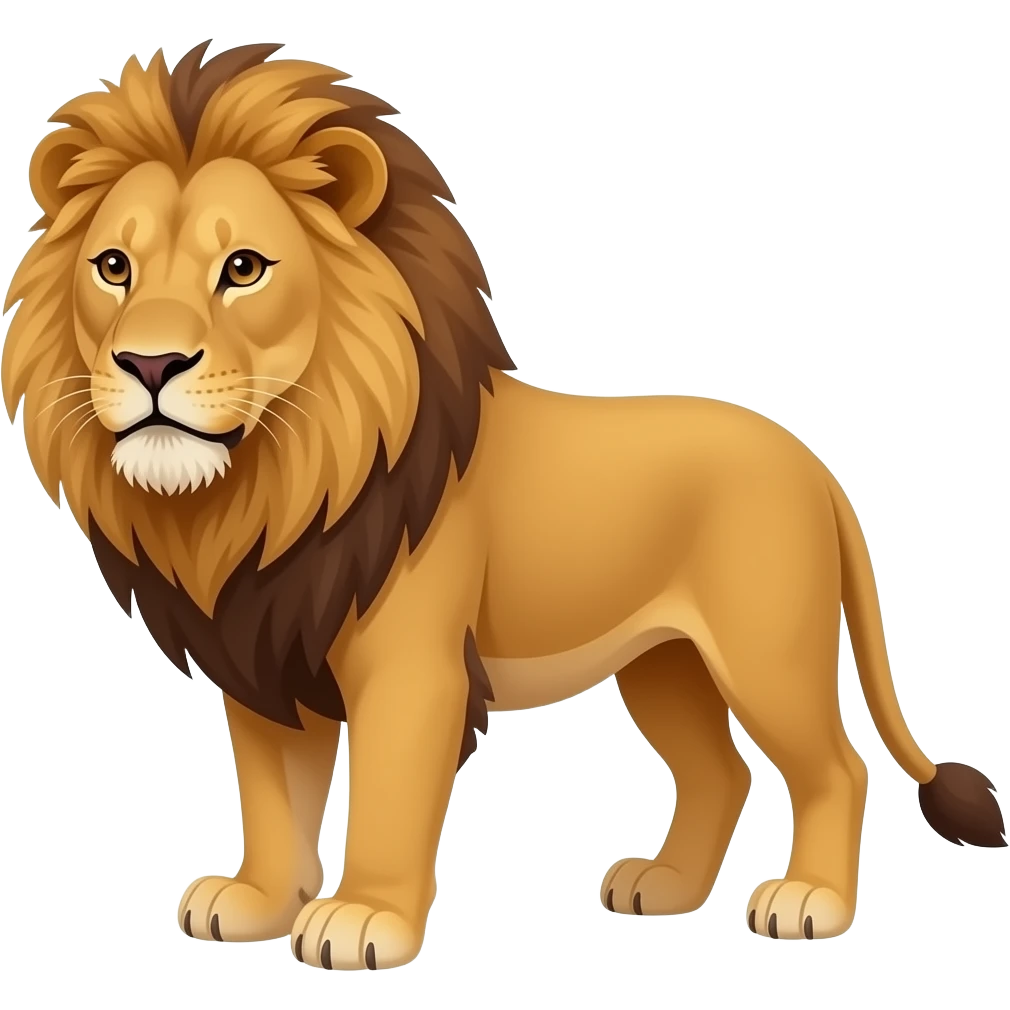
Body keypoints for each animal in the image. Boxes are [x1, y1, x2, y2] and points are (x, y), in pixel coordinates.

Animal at [2, 41, 1005, 970]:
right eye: (113, 267)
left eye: (244, 268)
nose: (150, 363)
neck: (270, 486)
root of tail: (815, 465)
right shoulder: (264, 658)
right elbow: (274, 800)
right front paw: (257, 903)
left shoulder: (412, 670)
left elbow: (388, 795)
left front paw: (364, 919)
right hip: (664, 663)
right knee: (720, 773)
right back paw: (664, 888)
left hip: (765, 651)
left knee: (836, 767)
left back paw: (810, 903)